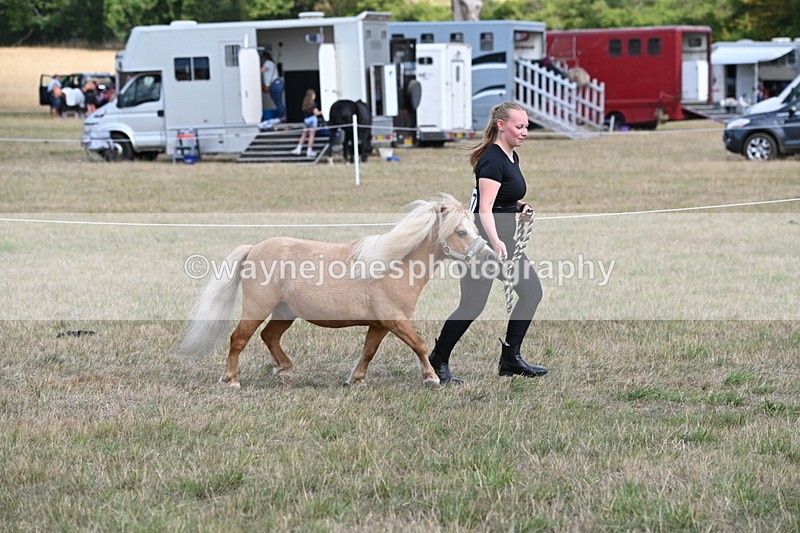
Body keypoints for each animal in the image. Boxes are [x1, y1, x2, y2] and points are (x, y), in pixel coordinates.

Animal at [177, 194, 495, 389]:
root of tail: (254, 248)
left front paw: (356, 380)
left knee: (270, 336)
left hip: (285, 312)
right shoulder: (395, 319)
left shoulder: (380, 325)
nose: (490, 256)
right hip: (257, 308)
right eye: (461, 232)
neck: (395, 265)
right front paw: (431, 379)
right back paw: (232, 379)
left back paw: (286, 371)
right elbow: (419, 344)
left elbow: (369, 351)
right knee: (239, 338)